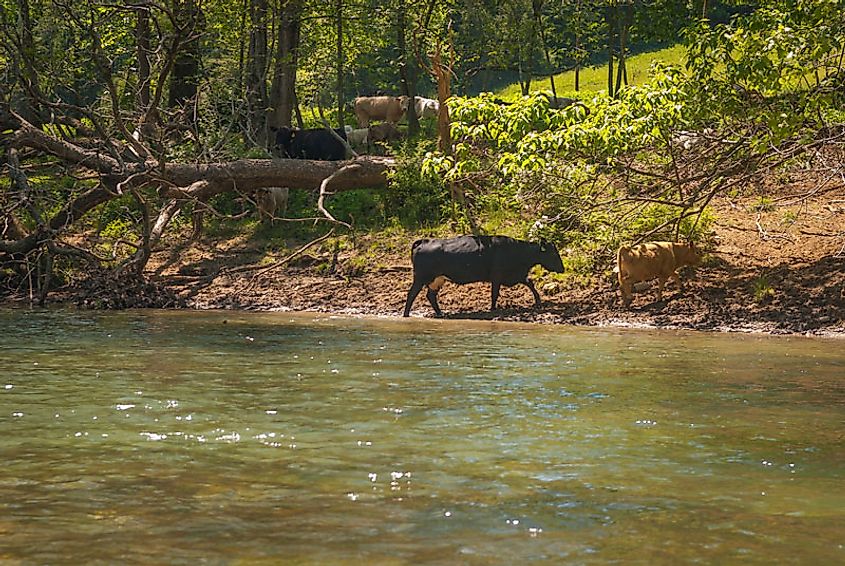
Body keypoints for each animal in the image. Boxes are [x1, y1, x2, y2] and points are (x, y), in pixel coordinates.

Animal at [400, 236, 560, 320]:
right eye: (553, 253)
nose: (562, 268)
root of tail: (423, 241)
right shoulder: (497, 276)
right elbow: (495, 294)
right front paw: (493, 308)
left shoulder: (516, 275)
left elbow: (530, 283)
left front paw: (538, 301)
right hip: (421, 277)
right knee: (411, 294)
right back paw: (406, 314)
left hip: (437, 279)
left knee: (430, 295)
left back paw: (440, 313)